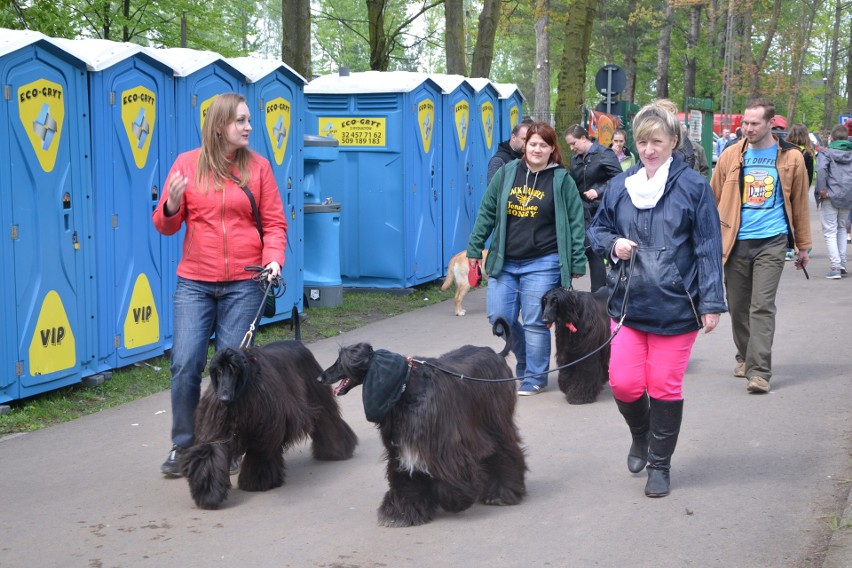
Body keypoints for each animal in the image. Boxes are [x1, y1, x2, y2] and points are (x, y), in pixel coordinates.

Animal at [181, 338, 358, 510]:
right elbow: (211, 451)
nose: (224, 398)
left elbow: (260, 452)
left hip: (316, 393)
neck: (241, 393)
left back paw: (337, 450)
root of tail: (298, 343)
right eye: (218, 370)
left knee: (328, 419)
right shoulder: (217, 423)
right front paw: (208, 494)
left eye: (234, 370)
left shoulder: (265, 428)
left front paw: (256, 482)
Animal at [316, 320, 524, 528]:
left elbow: (450, 472)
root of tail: (496, 354)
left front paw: (452, 497)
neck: (404, 389)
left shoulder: (442, 443)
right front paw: (402, 511)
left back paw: (502, 493)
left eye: (340, 362)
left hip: (495, 418)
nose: (320, 378)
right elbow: (405, 476)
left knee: (504, 447)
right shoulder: (401, 446)